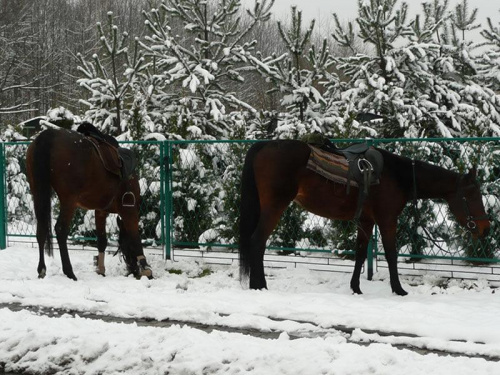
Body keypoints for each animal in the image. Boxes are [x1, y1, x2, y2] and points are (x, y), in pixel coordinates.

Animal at [26, 128, 151, 280]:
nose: (133, 270)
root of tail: (49, 135)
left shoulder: (101, 211)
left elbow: (102, 240)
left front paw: (101, 270)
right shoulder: (129, 210)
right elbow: (135, 238)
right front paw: (146, 269)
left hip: (37, 193)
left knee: (41, 229)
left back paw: (42, 270)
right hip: (68, 200)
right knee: (61, 230)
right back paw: (69, 272)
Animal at [239, 141, 492, 296]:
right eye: (472, 194)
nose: (485, 228)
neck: (396, 175)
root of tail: (264, 145)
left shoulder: (366, 221)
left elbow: (360, 254)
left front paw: (356, 288)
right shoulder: (387, 219)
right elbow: (391, 254)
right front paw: (399, 289)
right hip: (274, 206)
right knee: (257, 241)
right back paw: (259, 286)